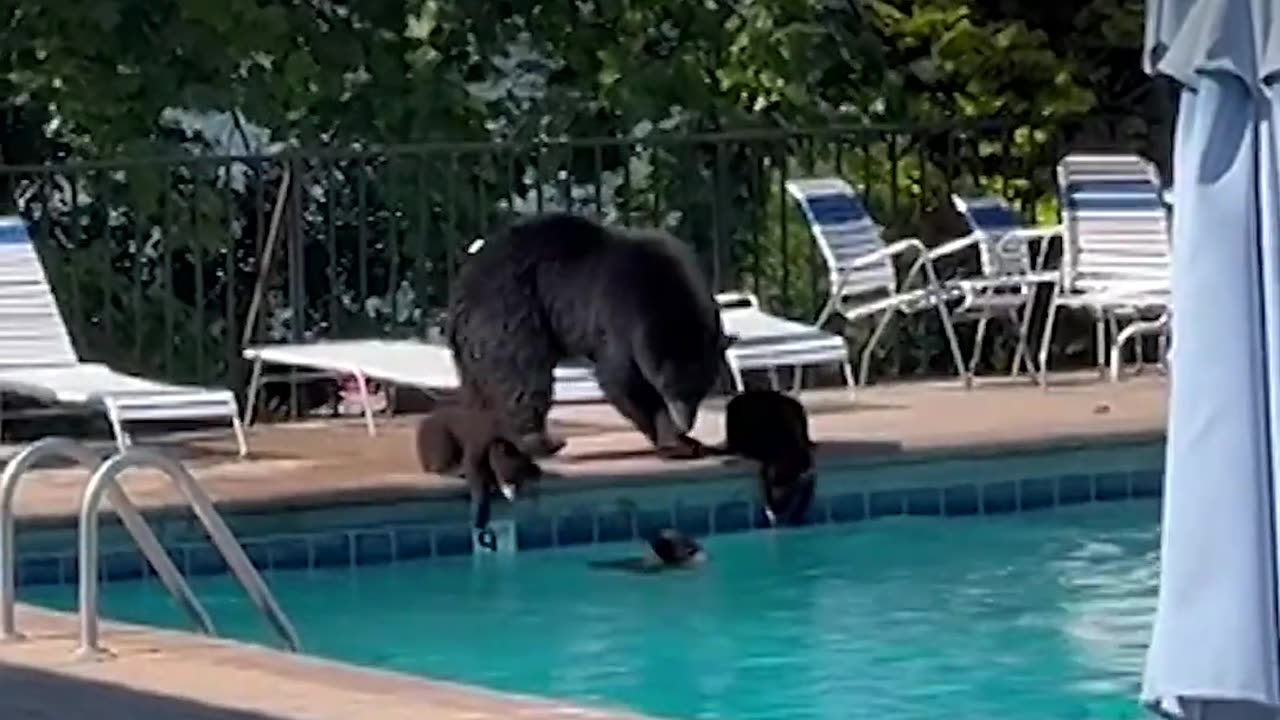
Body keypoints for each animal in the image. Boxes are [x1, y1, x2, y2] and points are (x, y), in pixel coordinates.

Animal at [414, 404, 545, 527]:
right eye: (508, 480)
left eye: (519, 483)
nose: (512, 496)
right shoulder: (482, 437)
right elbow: (472, 464)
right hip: (435, 434)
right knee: (442, 451)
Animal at [448, 212, 732, 458]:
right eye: (671, 388)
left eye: (701, 390)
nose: (686, 423)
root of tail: (463, 288)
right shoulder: (619, 316)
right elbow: (622, 380)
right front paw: (676, 440)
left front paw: (686, 439)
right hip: (511, 311)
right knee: (523, 373)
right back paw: (540, 442)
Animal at [721, 389, 819, 525]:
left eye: (788, 494)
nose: (776, 506)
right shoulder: (769, 470)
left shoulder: (806, 471)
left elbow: (806, 491)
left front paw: (795, 514)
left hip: (794, 406)